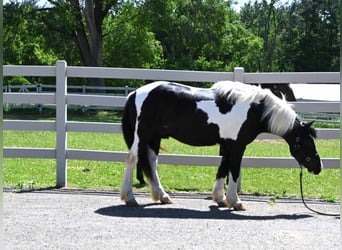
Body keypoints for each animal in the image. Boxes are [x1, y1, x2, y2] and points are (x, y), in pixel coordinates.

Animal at [119, 81, 320, 210]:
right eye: (306, 143)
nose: (318, 167)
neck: (255, 110)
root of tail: (134, 94)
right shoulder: (238, 146)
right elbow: (234, 170)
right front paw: (235, 202)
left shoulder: (228, 145)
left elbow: (222, 169)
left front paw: (220, 199)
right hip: (142, 136)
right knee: (132, 159)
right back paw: (129, 198)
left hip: (154, 138)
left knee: (151, 163)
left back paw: (162, 196)